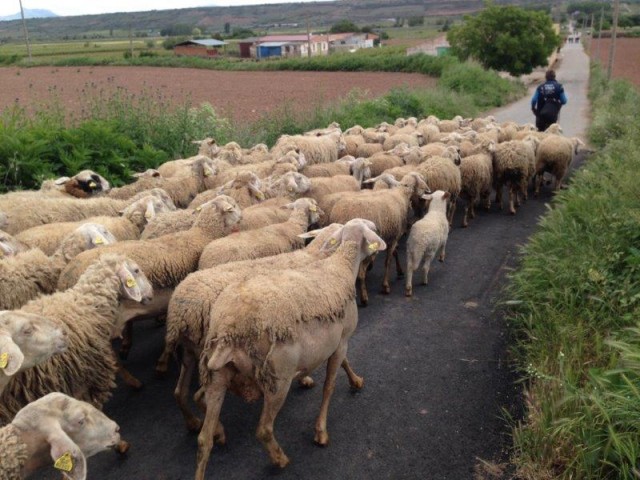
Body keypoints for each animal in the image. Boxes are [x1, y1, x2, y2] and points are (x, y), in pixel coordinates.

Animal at [156, 223, 348, 430]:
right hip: (207, 354)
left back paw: (193, 422)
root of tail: (179, 314)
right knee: (200, 396)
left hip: (189, 352)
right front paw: (307, 378)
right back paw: (217, 430)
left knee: (180, 392)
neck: (314, 256)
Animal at [195, 219, 384, 478]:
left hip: (218, 376)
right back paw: (280, 459)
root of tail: (229, 328)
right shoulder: (342, 340)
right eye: (371, 228)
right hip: (278, 377)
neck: (340, 266)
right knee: (263, 430)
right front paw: (321, 432)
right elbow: (329, 386)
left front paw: (355, 380)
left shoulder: (334, 342)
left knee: (203, 439)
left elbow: (343, 365)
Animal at [328, 172, 428, 304]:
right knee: (361, 272)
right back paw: (364, 298)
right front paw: (385, 286)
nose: (428, 190)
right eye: (420, 179)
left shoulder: (389, 236)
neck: (401, 194)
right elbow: (388, 261)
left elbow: (394, 253)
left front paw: (399, 271)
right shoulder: (394, 238)